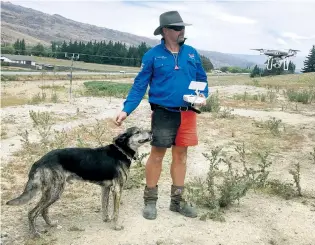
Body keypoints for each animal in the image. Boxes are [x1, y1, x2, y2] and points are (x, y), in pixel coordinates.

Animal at [5, 126, 152, 237]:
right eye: (137, 132)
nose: (151, 131)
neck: (122, 151)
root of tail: (39, 161)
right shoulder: (117, 189)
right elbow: (116, 212)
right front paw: (116, 226)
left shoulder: (106, 188)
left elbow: (105, 206)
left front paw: (106, 219)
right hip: (54, 191)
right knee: (32, 212)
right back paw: (35, 234)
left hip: (54, 192)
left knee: (43, 210)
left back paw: (51, 224)